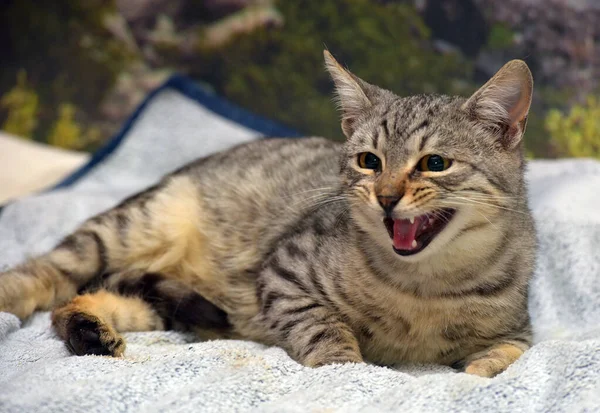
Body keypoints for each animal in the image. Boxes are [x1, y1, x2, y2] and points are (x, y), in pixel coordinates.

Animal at [0, 50, 536, 376]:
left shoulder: (518, 330)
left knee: (95, 297)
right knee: (47, 275)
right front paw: (345, 367)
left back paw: (91, 332)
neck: (424, 288)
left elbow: (508, 355)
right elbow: (325, 329)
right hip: (133, 227)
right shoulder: (284, 275)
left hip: (165, 301)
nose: (385, 196)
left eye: (435, 163)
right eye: (369, 161)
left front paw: (475, 371)